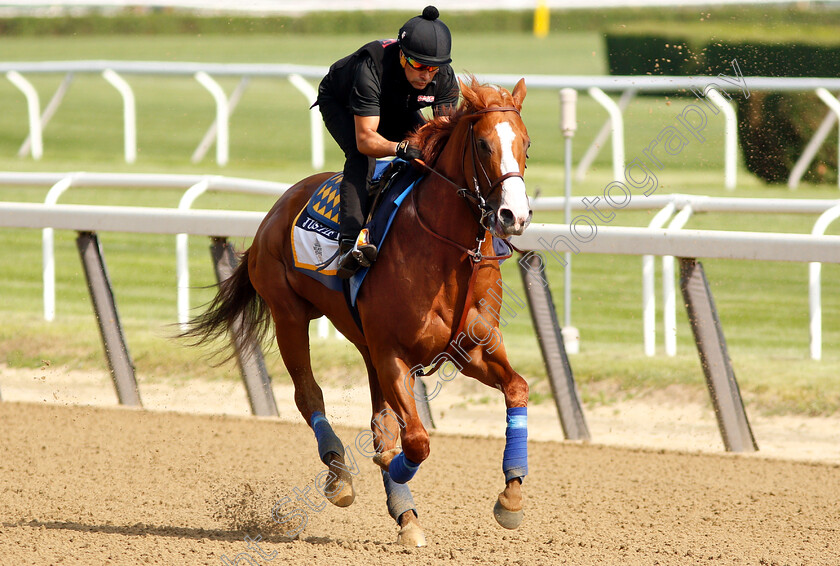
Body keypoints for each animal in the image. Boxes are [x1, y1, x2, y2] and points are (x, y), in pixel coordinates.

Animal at [187, 77, 536, 548]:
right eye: (482, 145)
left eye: (526, 144)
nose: (513, 215)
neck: (445, 252)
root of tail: (278, 207)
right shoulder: (393, 353)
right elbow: (417, 441)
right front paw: (391, 467)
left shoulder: (471, 348)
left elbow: (516, 389)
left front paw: (511, 498)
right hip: (289, 315)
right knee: (309, 395)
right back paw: (339, 476)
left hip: (363, 344)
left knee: (379, 419)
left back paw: (404, 512)